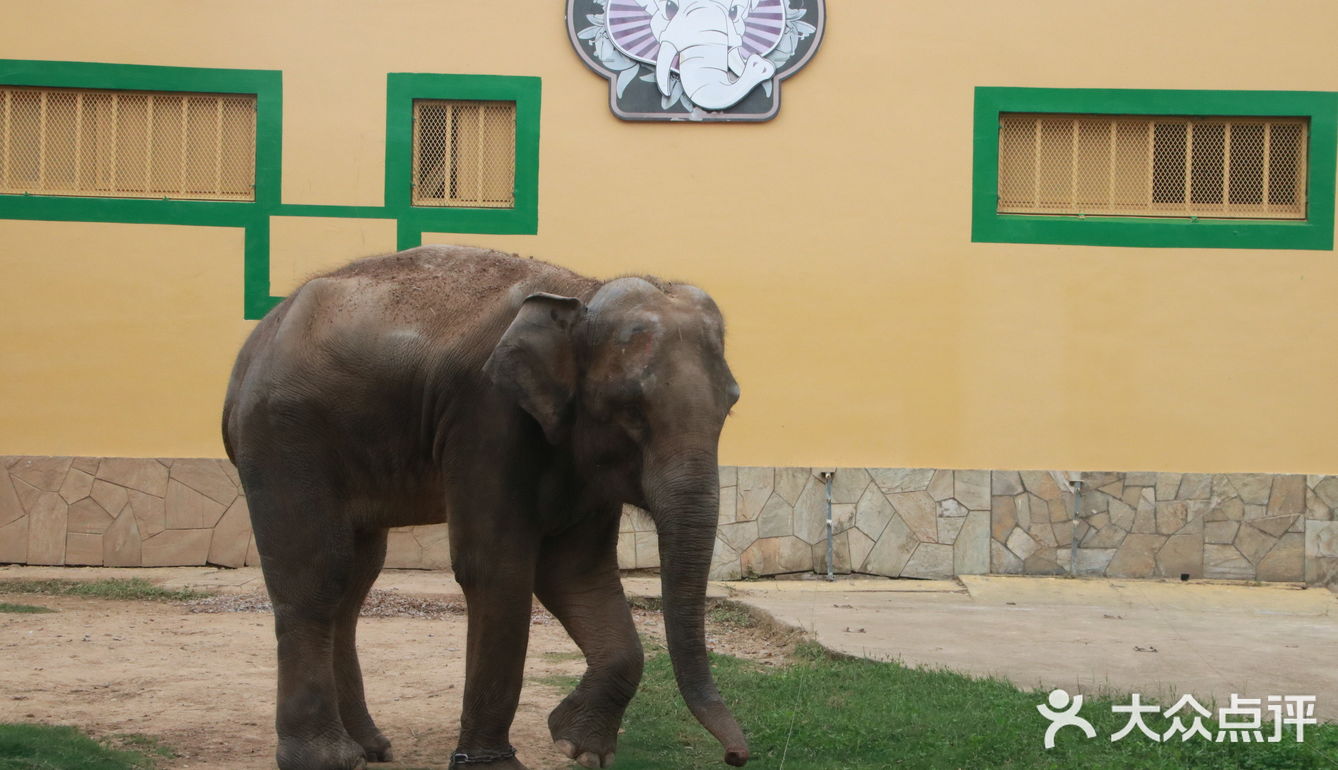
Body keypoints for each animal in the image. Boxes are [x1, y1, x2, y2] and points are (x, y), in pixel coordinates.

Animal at [223, 249, 749, 770]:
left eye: (730, 407)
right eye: (631, 409)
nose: (736, 755)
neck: (582, 291)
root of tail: (256, 341)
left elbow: (578, 572)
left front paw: (578, 746)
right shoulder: (485, 414)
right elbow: (497, 569)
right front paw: (496, 764)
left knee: (356, 579)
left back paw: (372, 749)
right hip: (283, 435)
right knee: (317, 573)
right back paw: (329, 759)